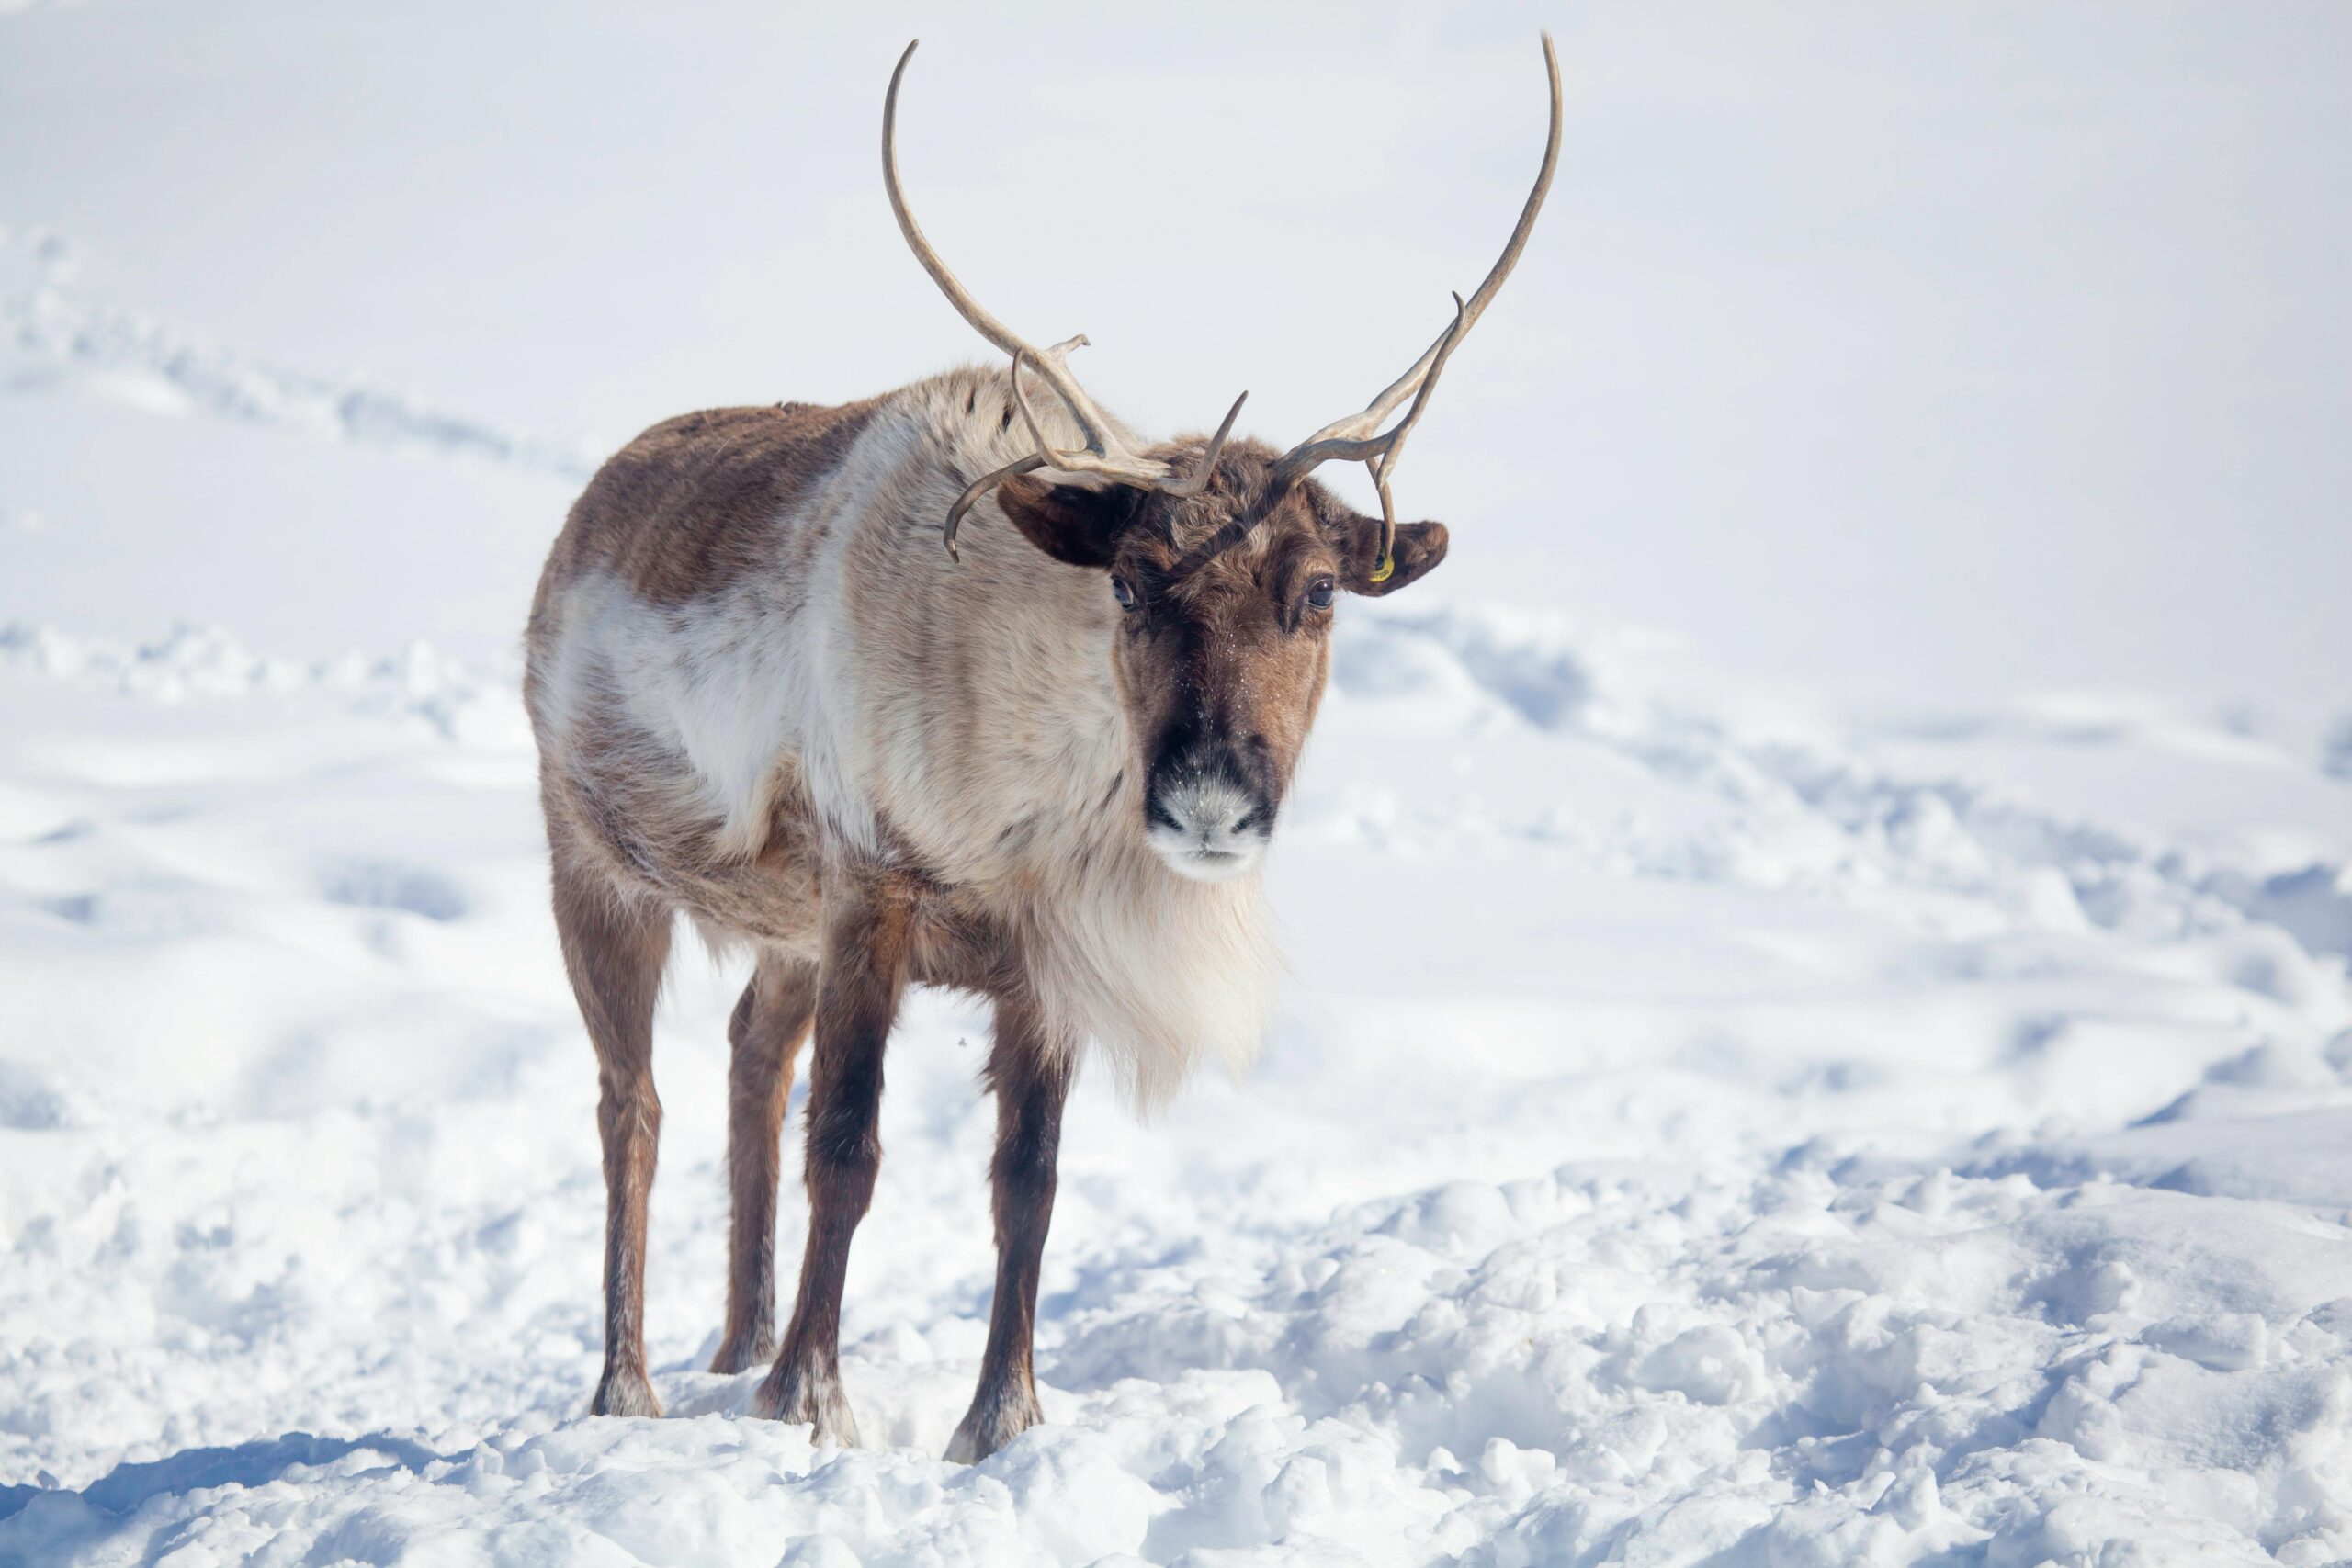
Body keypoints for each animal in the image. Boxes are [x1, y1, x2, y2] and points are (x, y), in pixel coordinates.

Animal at [522, 34, 1560, 1462]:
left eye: (1316, 592)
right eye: (1126, 580)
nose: (1209, 799)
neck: (1036, 794)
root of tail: (583, 515)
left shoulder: (1043, 959)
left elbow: (1030, 1180)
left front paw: (1000, 1419)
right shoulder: (870, 889)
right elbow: (848, 1149)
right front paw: (812, 1403)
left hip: (774, 928)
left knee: (745, 1058)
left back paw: (734, 1345)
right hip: (593, 863)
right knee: (634, 1108)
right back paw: (634, 1384)